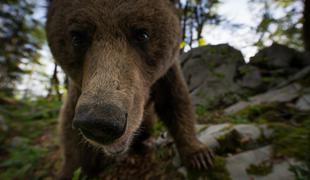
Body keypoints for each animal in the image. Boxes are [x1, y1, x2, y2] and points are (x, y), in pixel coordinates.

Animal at [46, 0, 213, 178]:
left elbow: (176, 103)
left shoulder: (165, 75)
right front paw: (70, 171)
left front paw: (199, 155)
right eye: (77, 37)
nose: (99, 122)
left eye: (142, 34)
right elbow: (72, 139)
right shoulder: (78, 93)